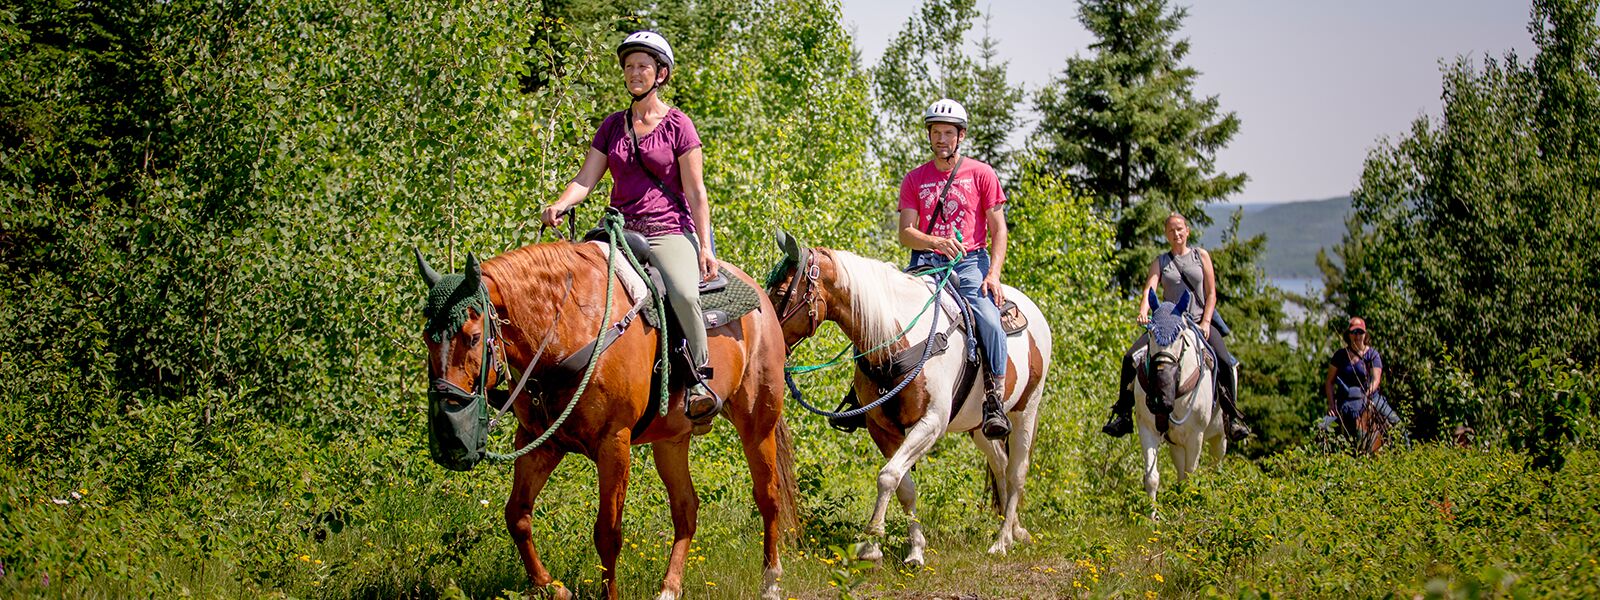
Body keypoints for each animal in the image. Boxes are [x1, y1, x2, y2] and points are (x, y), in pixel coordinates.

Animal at [419, 241, 800, 600]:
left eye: (473, 337)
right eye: (426, 338)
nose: (449, 437)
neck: (570, 327)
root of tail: (762, 300)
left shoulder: (613, 442)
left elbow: (607, 532)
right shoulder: (538, 442)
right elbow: (517, 516)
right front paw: (553, 587)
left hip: (758, 423)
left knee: (768, 496)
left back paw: (771, 582)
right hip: (671, 440)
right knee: (686, 507)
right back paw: (670, 587)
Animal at [761, 232, 1049, 566]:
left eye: (782, 292)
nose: (766, 337)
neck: (894, 339)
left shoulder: (931, 423)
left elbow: (888, 476)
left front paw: (871, 545)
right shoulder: (882, 428)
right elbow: (903, 485)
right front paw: (914, 550)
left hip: (1026, 410)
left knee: (1017, 471)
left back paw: (1002, 541)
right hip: (978, 425)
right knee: (1000, 464)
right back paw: (1013, 529)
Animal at [1132, 289, 1228, 515]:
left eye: (1181, 336)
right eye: (1150, 333)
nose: (1160, 399)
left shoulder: (1196, 436)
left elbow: (1191, 477)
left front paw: (1188, 513)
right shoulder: (1147, 428)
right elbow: (1152, 477)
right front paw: (1151, 516)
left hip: (1219, 438)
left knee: (1214, 466)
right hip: (1176, 442)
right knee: (1180, 471)